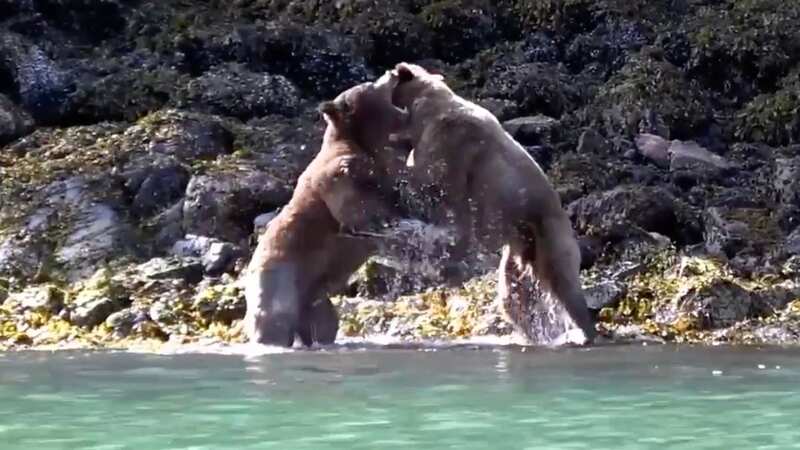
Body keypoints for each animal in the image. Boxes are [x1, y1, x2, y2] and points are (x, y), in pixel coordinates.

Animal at [243, 70, 410, 347]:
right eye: (371, 84)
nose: (393, 72)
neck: (361, 139)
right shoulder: (335, 178)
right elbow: (352, 204)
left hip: (315, 301)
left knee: (324, 323)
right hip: (278, 281)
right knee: (274, 321)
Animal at [387, 62, 597, 345]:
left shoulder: (450, 142)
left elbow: (429, 178)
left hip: (549, 235)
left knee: (565, 284)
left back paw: (586, 331)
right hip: (517, 252)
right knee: (514, 298)